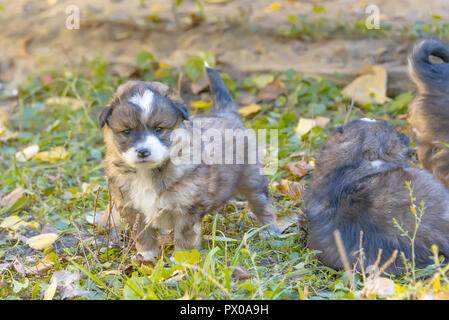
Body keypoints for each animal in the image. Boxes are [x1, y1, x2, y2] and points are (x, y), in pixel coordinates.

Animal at [100, 63, 278, 262]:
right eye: (127, 131)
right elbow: (142, 235)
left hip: (252, 179)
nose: (143, 151)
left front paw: (181, 261)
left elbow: (184, 237)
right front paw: (146, 257)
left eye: (159, 129)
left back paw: (270, 231)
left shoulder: (186, 209)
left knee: (262, 203)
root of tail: (226, 113)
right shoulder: (132, 208)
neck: (148, 172)